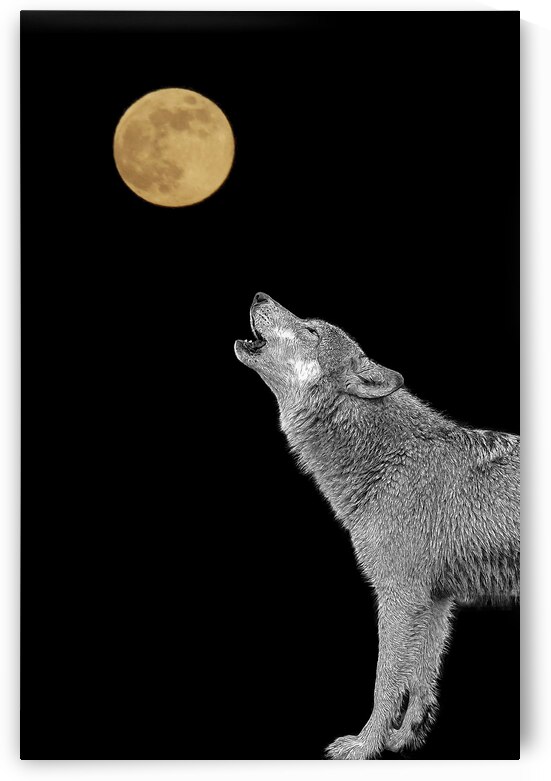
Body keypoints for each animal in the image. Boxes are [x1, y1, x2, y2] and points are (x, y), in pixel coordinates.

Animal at [235, 292, 520, 760]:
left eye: (311, 330)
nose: (260, 295)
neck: (388, 462)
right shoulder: (435, 599)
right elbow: (421, 680)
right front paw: (405, 738)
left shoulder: (399, 595)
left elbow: (385, 683)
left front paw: (366, 745)